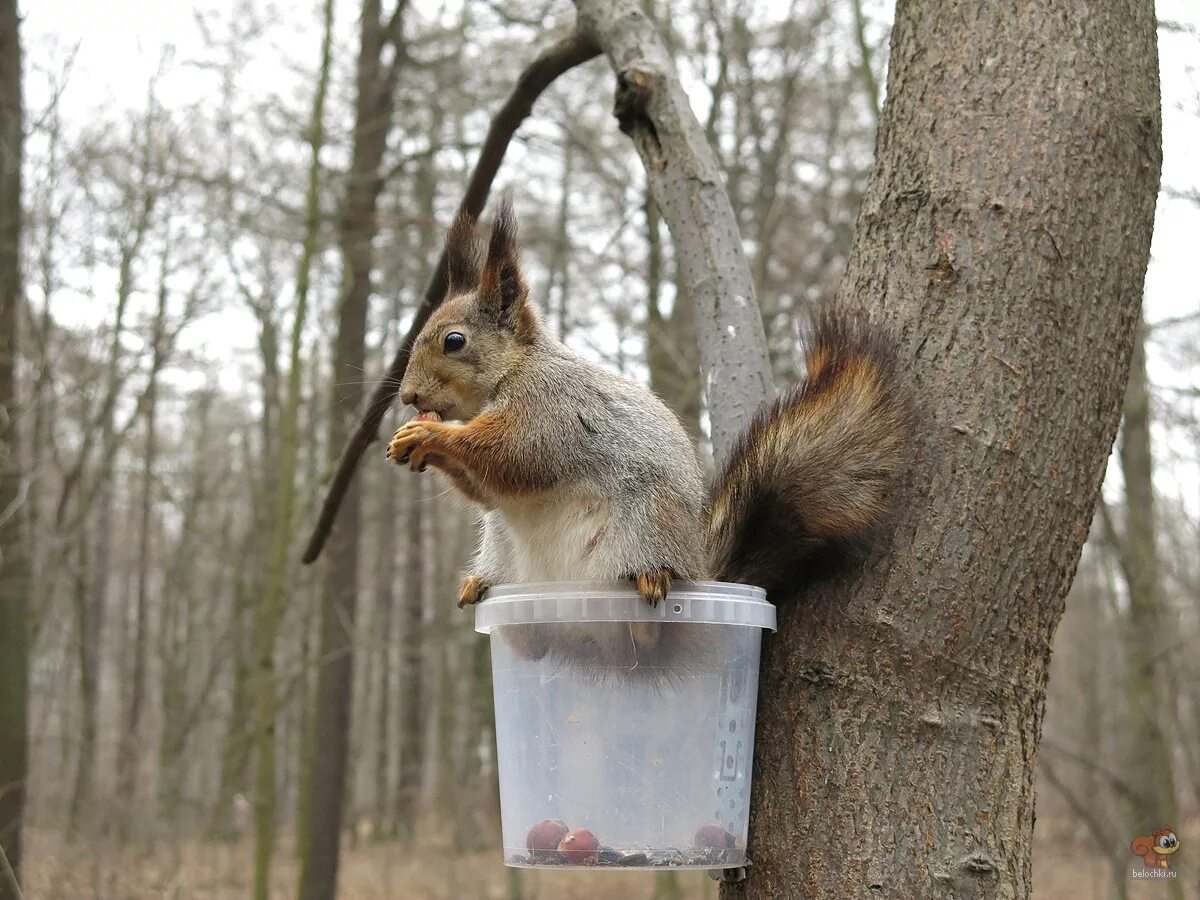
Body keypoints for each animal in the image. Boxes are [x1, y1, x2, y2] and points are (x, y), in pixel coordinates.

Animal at [386, 196, 907, 672]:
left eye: (454, 341)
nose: (408, 396)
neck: (517, 370)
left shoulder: (549, 412)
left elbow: (511, 455)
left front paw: (432, 436)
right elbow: (488, 488)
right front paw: (416, 437)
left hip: (646, 524)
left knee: (652, 630)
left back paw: (650, 591)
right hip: (507, 550)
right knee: (529, 639)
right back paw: (482, 585)